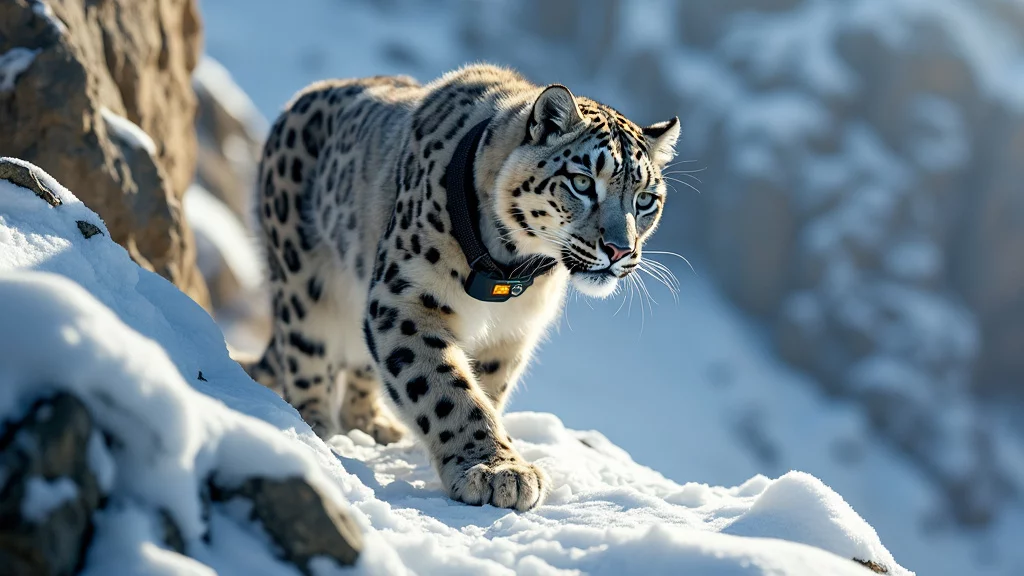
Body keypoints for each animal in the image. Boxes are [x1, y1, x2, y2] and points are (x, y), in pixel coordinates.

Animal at [246, 64, 679, 511]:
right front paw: (496, 470)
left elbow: (484, 391)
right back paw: (313, 425)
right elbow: (445, 388)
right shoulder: (406, 300)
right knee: (306, 353)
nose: (620, 249)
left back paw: (372, 424)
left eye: (646, 199)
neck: (511, 266)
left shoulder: (510, 335)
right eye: (581, 181)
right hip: (302, 282)